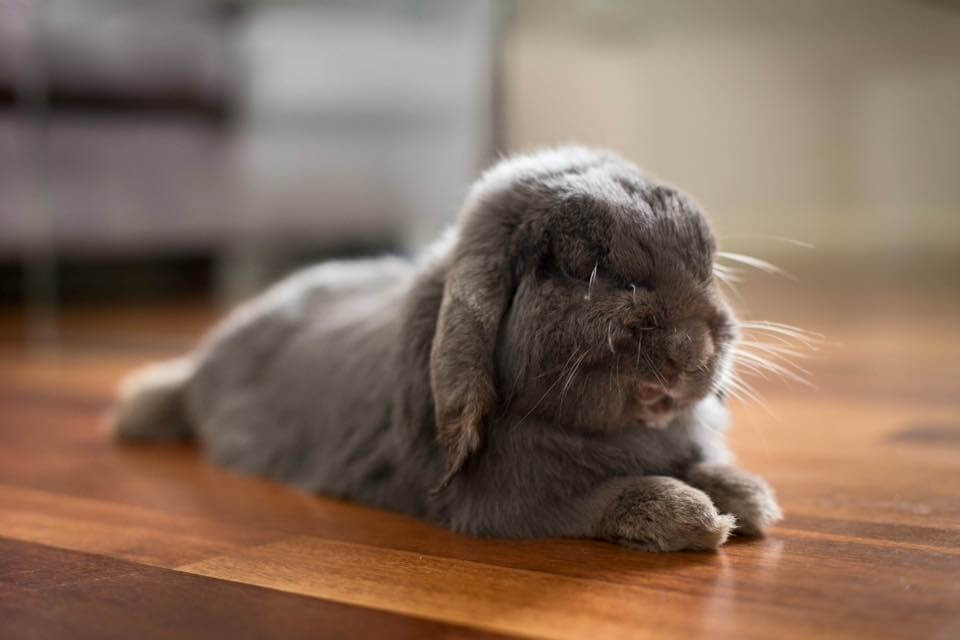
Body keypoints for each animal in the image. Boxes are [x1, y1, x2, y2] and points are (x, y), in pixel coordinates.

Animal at [112, 148, 784, 552]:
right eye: (585, 269)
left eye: (706, 266)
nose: (692, 350)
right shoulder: (513, 503)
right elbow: (610, 495)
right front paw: (699, 519)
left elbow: (701, 463)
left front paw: (749, 498)